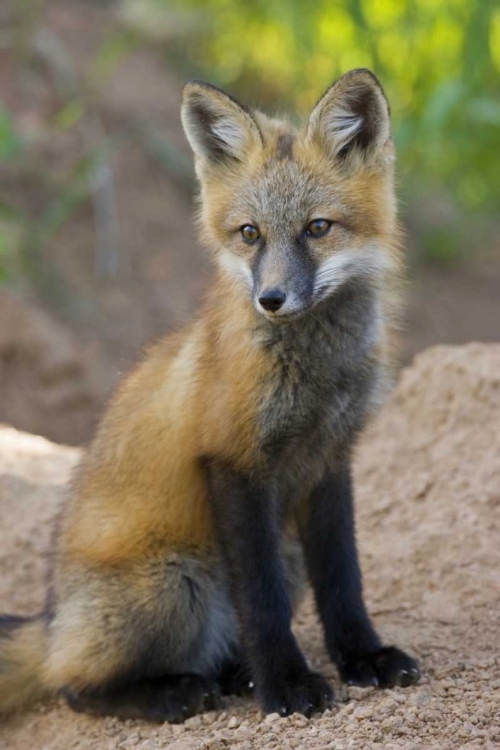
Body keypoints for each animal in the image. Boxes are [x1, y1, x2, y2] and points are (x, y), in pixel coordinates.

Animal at [0, 69, 422, 724]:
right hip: (175, 583)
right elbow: (263, 601)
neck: (317, 379)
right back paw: (175, 690)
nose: (271, 299)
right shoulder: (234, 463)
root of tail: (52, 621)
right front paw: (286, 685)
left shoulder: (331, 460)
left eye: (318, 228)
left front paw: (364, 657)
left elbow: (343, 580)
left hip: (275, 555)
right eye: (250, 234)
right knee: (71, 686)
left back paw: (231, 674)